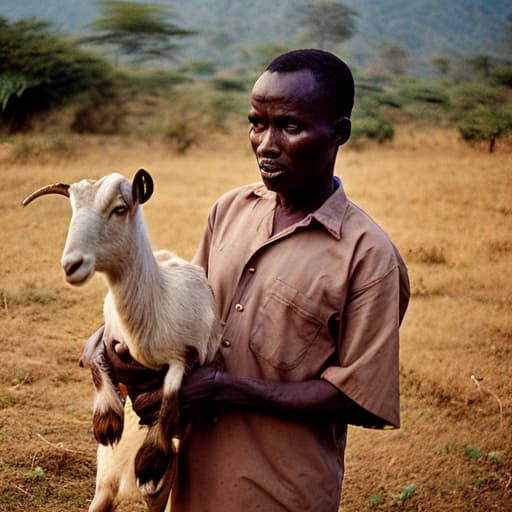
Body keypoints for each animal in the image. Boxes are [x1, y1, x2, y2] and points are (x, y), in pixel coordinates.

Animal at [22, 170, 222, 510]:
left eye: (119, 208)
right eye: (73, 209)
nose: (72, 265)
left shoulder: (188, 354)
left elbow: (171, 392)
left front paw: (151, 460)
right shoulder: (108, 336)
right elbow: (93, 359)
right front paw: (106, 421)